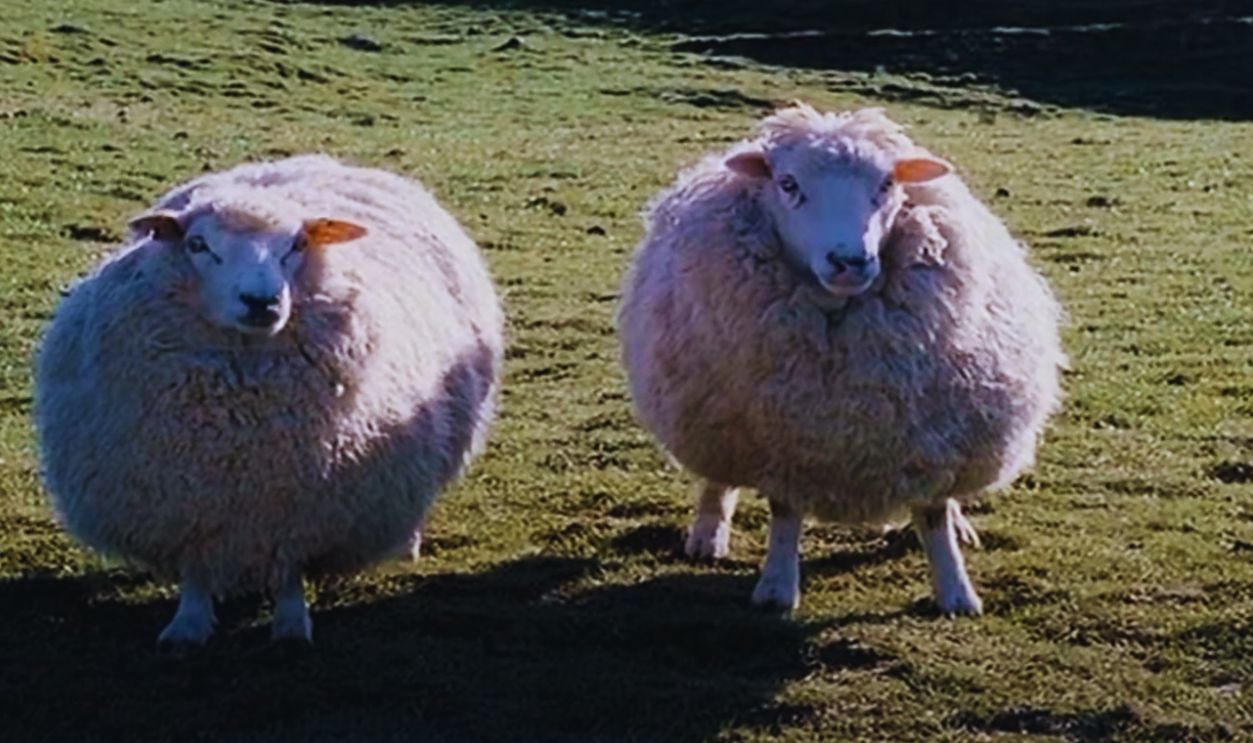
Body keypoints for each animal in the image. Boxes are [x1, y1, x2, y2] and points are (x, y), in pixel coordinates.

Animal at [34, 155, 503, 653]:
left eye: (297, 245)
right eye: (198, 245)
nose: (261, 301)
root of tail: (314, 160)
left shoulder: (300, 503)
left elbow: (290, 568)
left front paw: (292, 625)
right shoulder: (190, 498)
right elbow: (196, 566)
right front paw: (188, 625)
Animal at [618, 104, 1065, 615]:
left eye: (887, 183)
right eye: (788, 183)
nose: (849, 261)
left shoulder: (928, 439)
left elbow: (933, 516)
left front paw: (956, 591)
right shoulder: (787, 442)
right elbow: (785, 512)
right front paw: (777, 587)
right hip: (712, 418)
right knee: (717, 475)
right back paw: (708, 534)